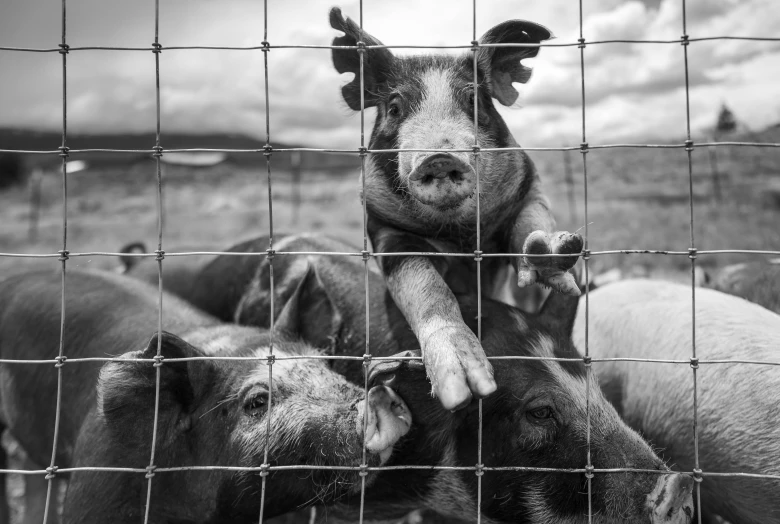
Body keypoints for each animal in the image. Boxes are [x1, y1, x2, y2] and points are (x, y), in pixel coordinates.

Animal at [328, 6, 584, 412]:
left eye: (473, 101)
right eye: (395, 107)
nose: (439, 157)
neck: (461, 236)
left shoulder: (527, 184)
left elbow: (529, 225)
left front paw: (553, 254)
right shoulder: (386, 229)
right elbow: (427, 289)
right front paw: (463, 389)